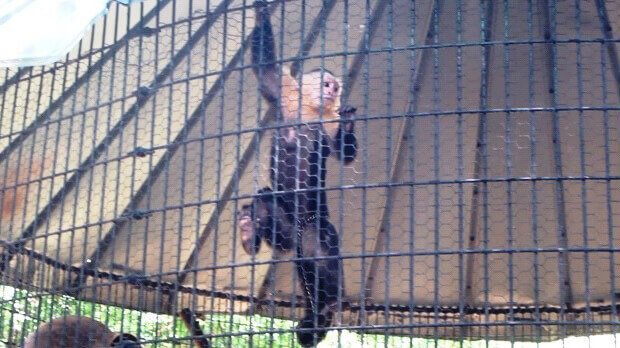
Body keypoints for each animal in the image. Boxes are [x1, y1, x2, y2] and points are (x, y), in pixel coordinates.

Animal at [239, 1, 358, 346]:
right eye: (326, 84)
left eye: (336, 87)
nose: (333, 90)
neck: (312, 110)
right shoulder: (286, 94)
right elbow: (266, 71)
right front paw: (261, 13)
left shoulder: (328, 121)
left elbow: (344, 153)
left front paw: (348, 126)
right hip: (285, 230)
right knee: (266, 203)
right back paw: (249, 233)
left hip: (314, 224)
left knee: (318, 246)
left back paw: (327, 304)